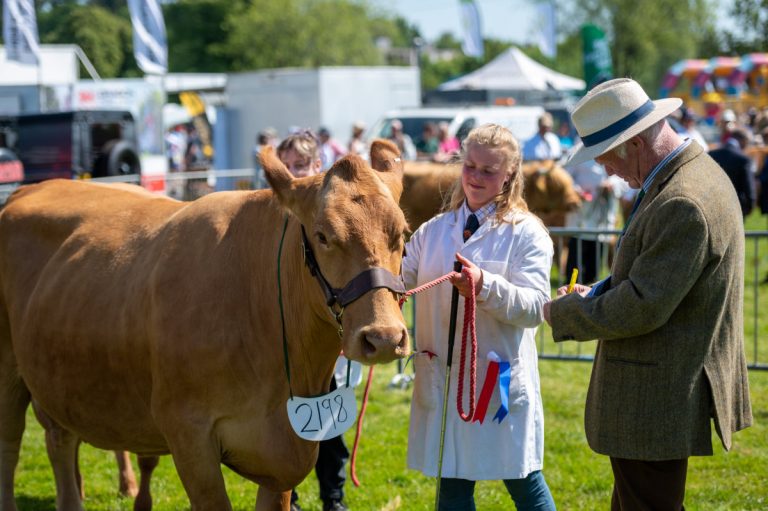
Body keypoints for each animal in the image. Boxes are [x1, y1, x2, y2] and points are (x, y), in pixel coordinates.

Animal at [0, 140, 410, 511]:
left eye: (402, 234)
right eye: (322, 235)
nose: (383, 337)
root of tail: (31, 187)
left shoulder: (283, 455)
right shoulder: (187, 433)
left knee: (60, 441)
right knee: (12, 445)